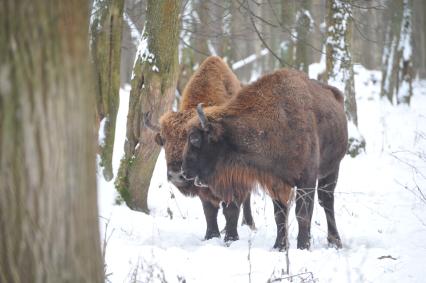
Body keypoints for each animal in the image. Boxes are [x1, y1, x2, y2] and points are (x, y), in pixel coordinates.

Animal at [151, 56, 255, 243]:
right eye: (164, 140)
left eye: (192, 138)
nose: (176, 174)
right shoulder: (203, 189)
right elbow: (209, 210)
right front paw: (211, 236)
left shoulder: (235, 180)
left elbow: (231, 209)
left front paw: (231, 238)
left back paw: (248, 225)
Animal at [181, 68, 348, 251]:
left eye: (195, 138)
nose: (184, 171)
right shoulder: (276, 182)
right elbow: (279, 215)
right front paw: (279, 246)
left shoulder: (307, 180)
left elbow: (302, 214)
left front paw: (302, 246)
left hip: (332, 170)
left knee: (327, 202)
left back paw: (335, 242)